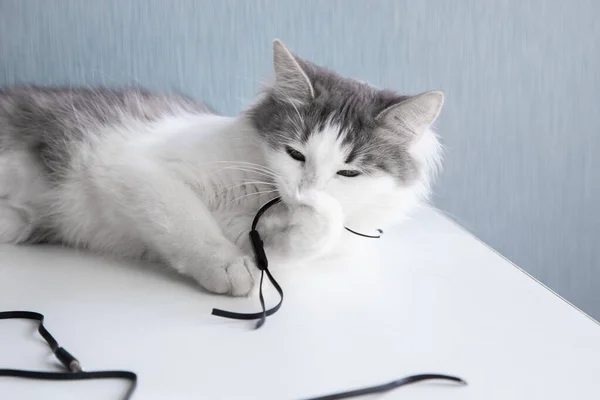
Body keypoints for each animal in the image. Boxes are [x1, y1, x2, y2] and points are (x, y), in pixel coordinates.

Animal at [0, 40, 440, 296]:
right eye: (295, 154)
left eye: (348, 173)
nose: (304, 191)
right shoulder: (132, 167)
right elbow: (188, 225)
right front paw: (226, 266)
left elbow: (313, 235)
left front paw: (313, 214)